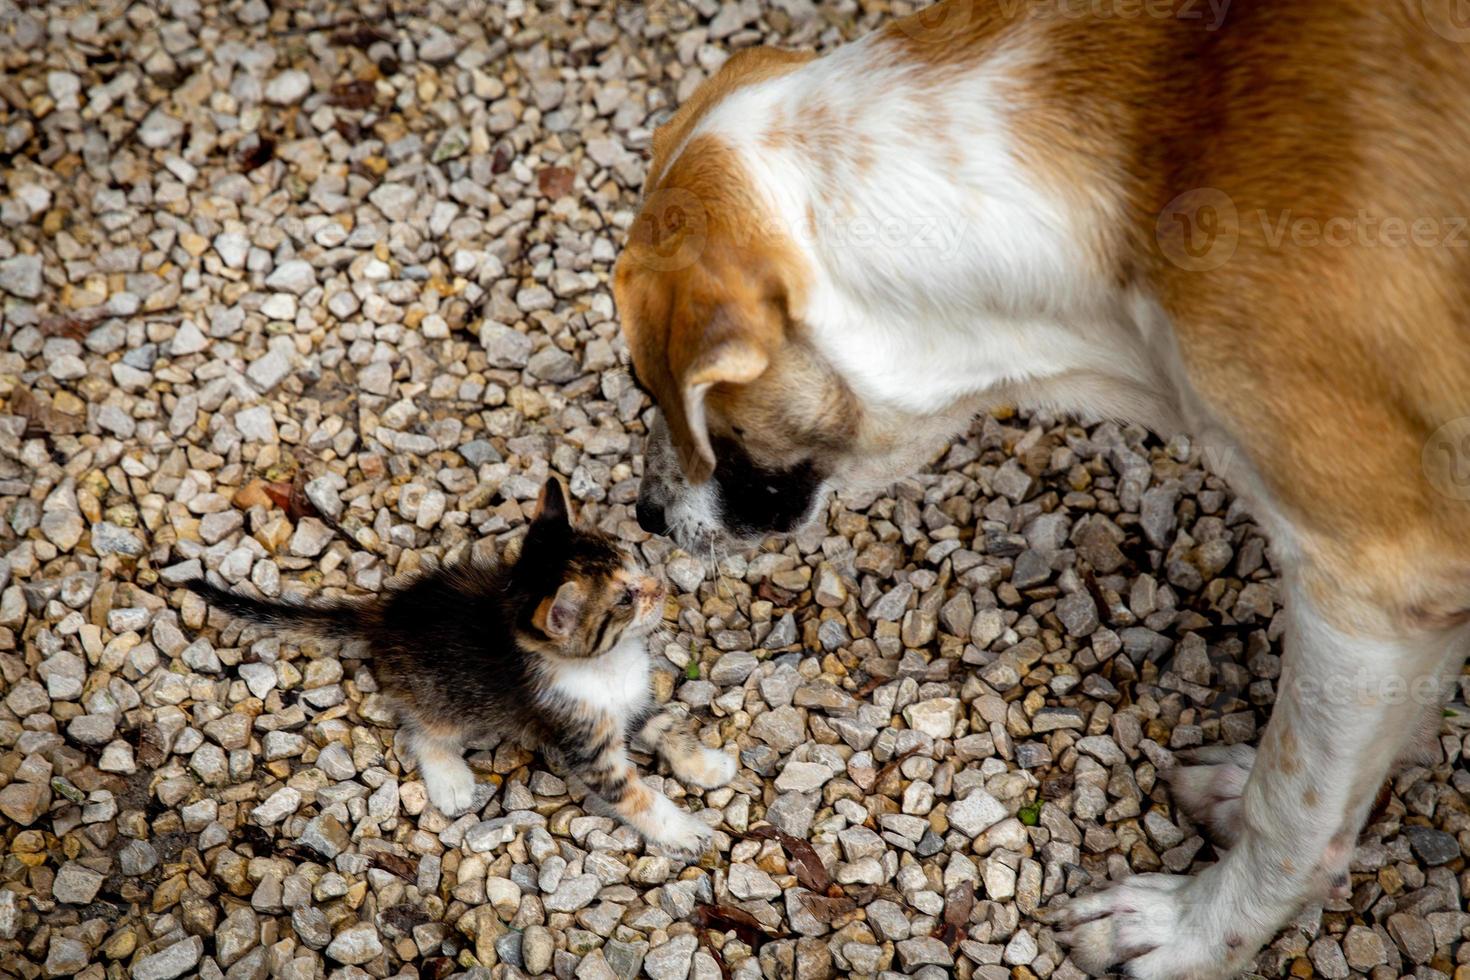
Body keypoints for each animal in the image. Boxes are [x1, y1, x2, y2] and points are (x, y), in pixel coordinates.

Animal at [186, 478, 732, 852]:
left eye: (631, 558)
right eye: (623, 600)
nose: (661, 587)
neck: (606, 666)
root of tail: (383, 614)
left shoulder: (632, 702)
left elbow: (668, 727)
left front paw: (707, 765)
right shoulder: (582, 740)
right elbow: (632, 796)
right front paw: (683, 830)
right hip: (441, 697)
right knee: (421, 730)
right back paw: (449, 779)